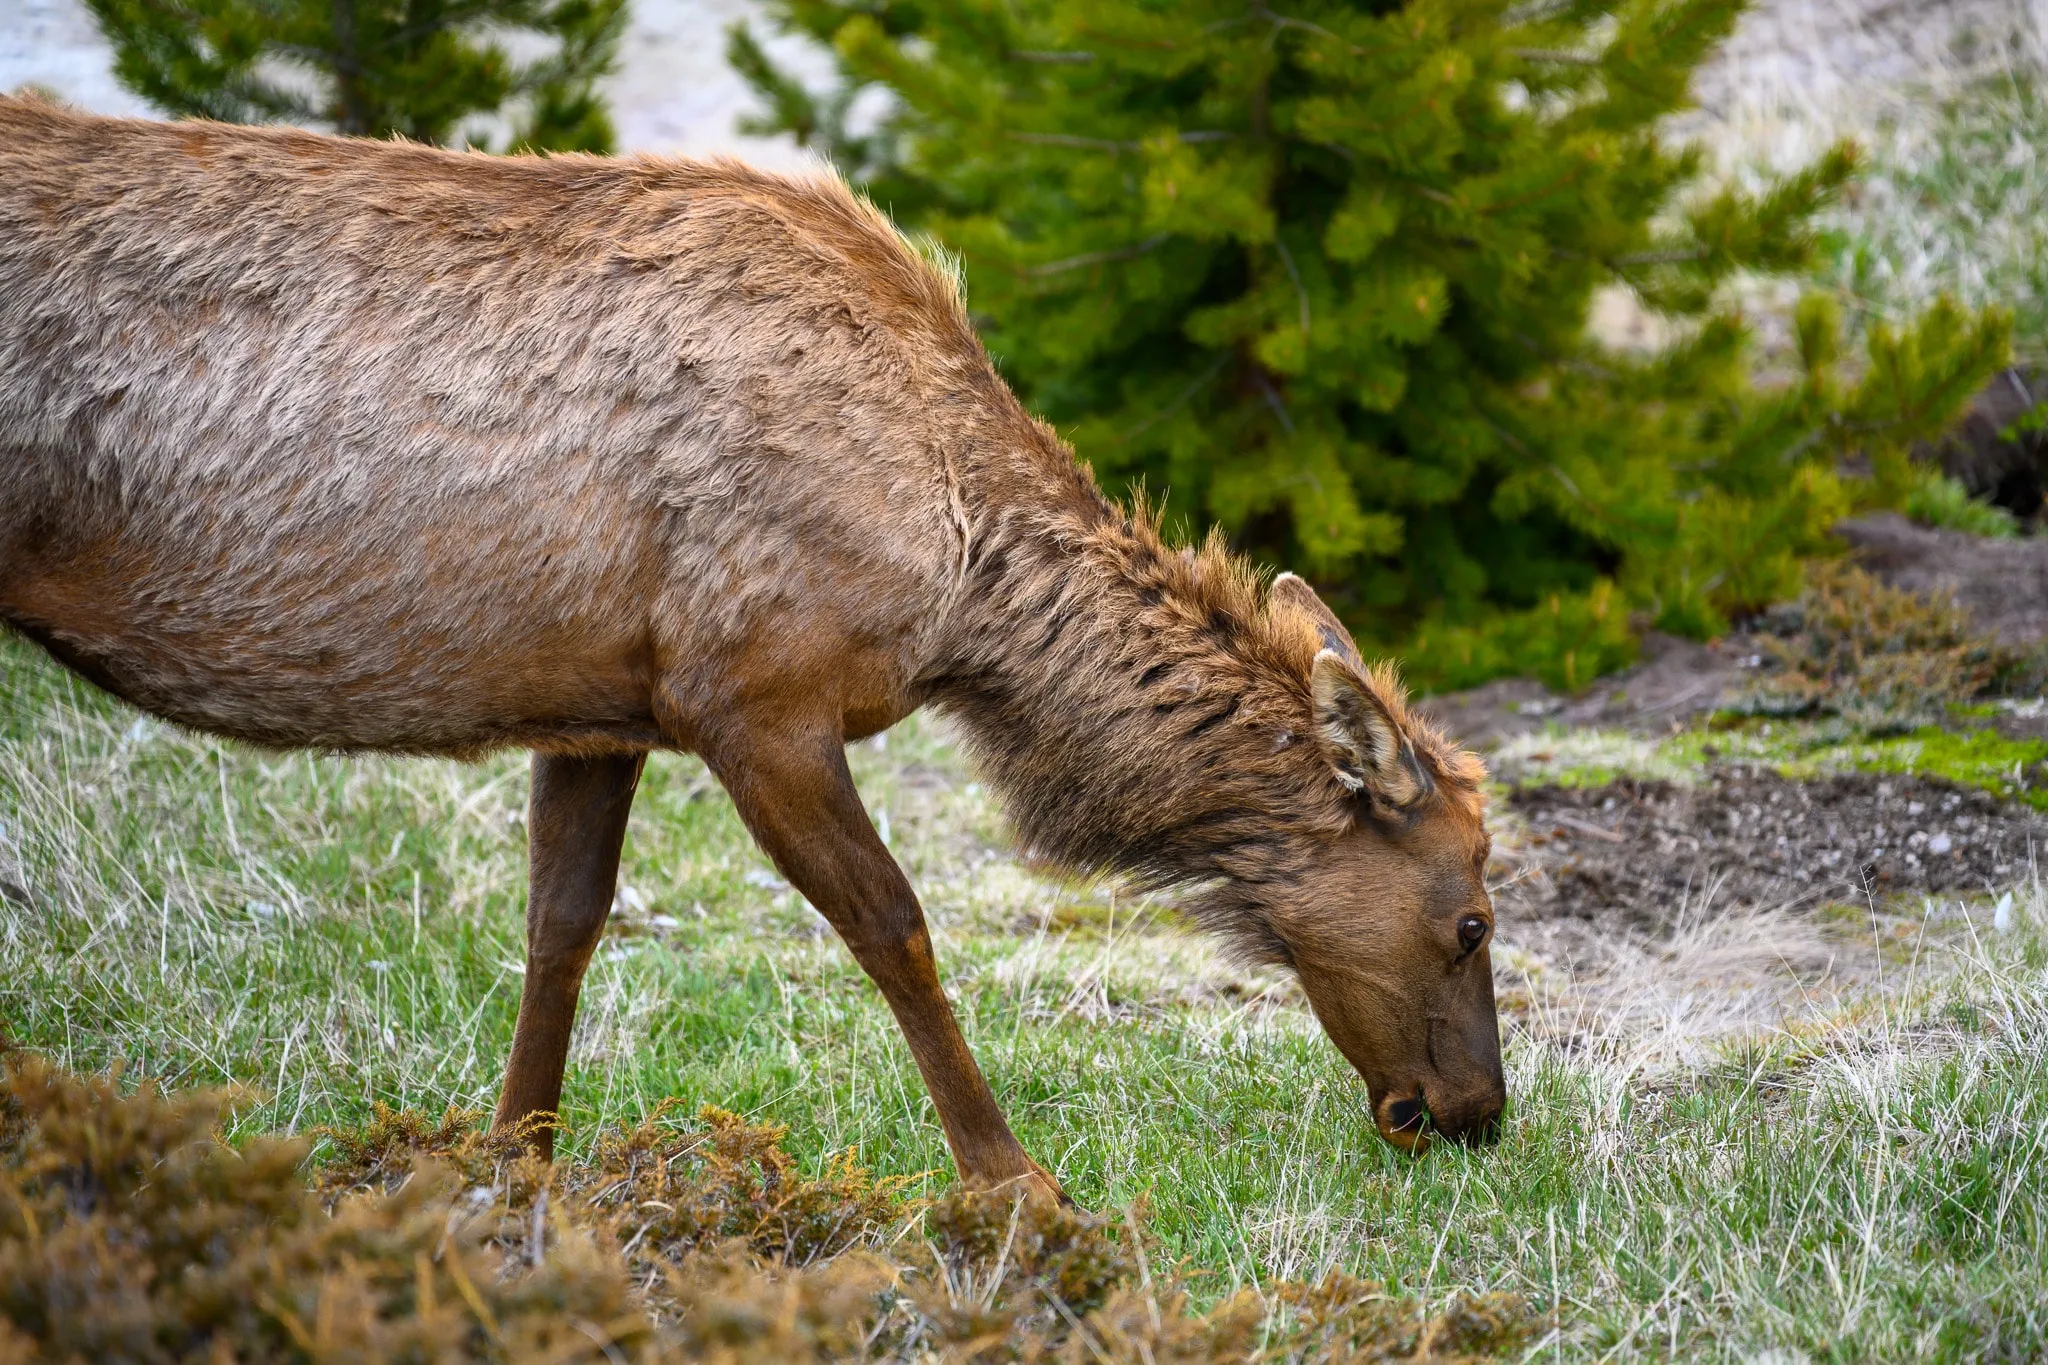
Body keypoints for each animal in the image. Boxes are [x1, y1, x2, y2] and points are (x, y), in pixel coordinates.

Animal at [0, 96, 1505, 1205]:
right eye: (1471, 920)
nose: (1473, 1116)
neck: (957, 583)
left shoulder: (600, 703)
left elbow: (562, 924)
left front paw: (514, 1164)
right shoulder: (753, 693)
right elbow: (895, 925)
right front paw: (1018, 1184)